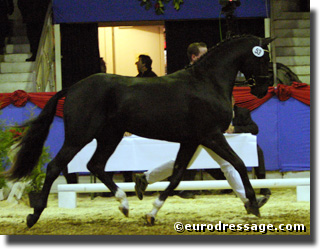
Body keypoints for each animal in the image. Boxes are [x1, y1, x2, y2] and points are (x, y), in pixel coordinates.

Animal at [2, 34, 274, 228]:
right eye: (263, 58)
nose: (263, 88)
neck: (207, 82)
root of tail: (73, 87)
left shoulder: (192, 140)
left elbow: (177, 175)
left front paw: (152, 212)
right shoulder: (212, 136)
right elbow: (239, 163)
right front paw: (254, 203)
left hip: (109, 137)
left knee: (95, 165)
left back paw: (124, 204)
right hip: (79, 136)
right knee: (55, 167)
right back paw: (33, 216)